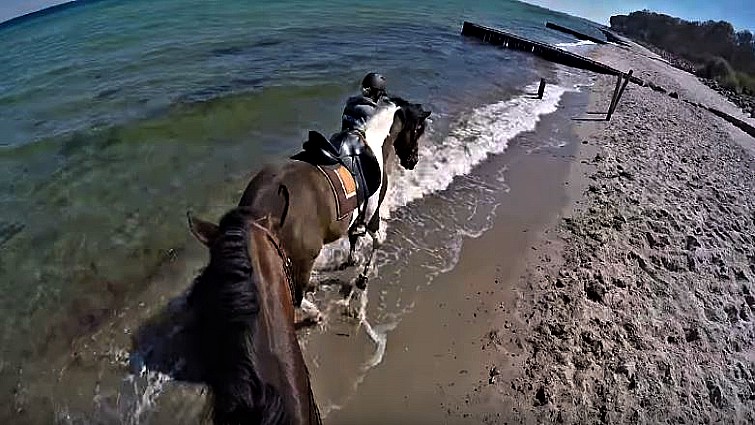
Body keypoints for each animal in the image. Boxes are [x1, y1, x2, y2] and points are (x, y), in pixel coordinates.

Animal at [235, 96, 431, 322]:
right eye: (418, 130)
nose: (413, 162)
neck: (372, 144)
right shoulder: (372, 215)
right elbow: (378, 241)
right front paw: (363, 278)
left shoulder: (357, 217)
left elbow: (354, 237)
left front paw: (352, 260)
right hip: (305, 258)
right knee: (296, 297)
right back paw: (314, 312)